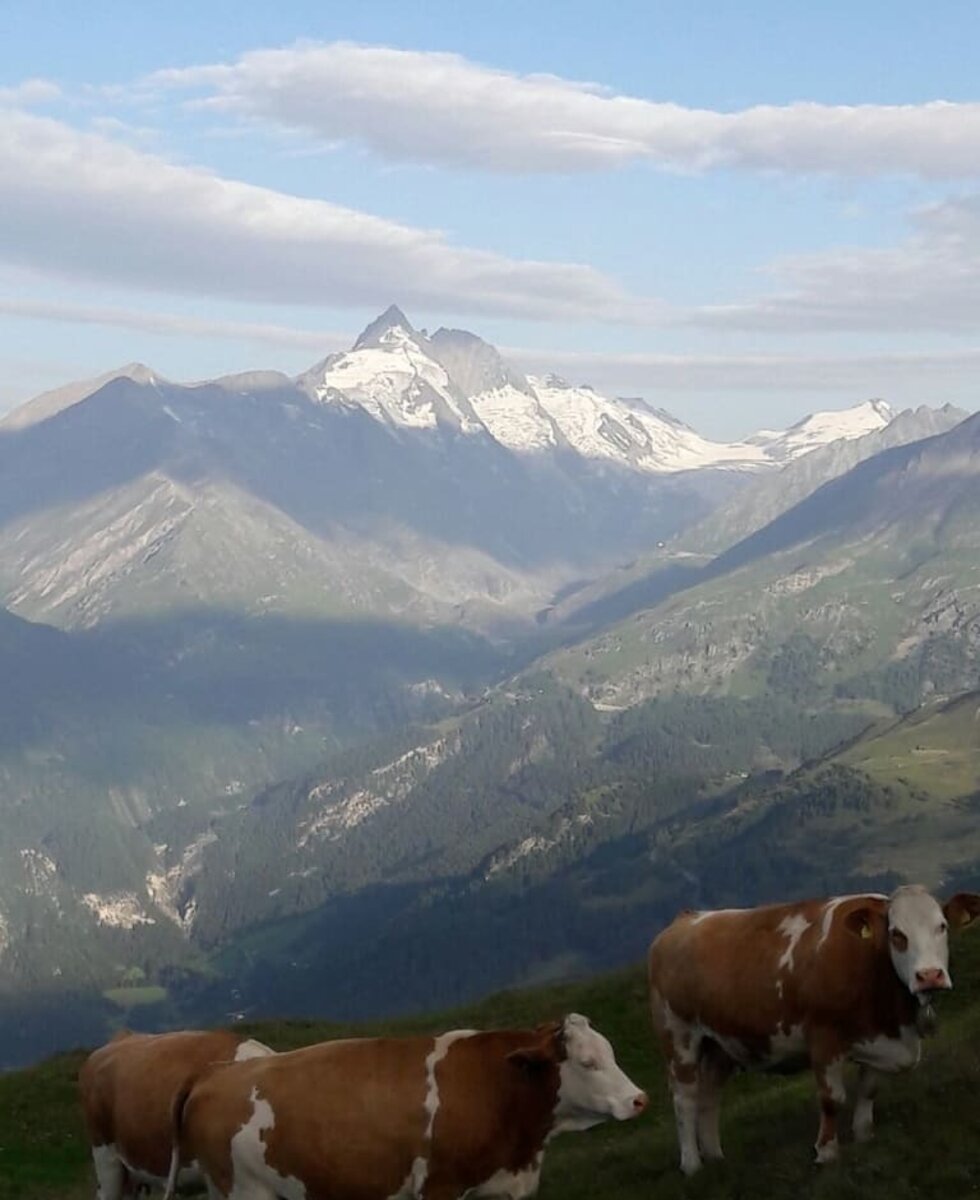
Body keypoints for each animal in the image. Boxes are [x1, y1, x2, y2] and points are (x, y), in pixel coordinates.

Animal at [164, 1012, 647, 1200]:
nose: (638, 1099)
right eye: (587, 1062)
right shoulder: (439, 1187)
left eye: (611, 1052)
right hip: (246, 1190)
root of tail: (214, 1073)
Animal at [647, 883, 978, 1171]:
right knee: (685, 1099)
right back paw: (692, 1165)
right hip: (678, 1035)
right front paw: (827, 1152)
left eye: (942, 926)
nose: (929, 975)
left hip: (720, 1044)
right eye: (897, 934)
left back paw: (716, 1156)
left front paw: (864, 1135)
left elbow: (868, 1089)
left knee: (709, 1096)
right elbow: (832, 1099)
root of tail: (685, 919)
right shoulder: (823, 1037)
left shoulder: (877, 1037)